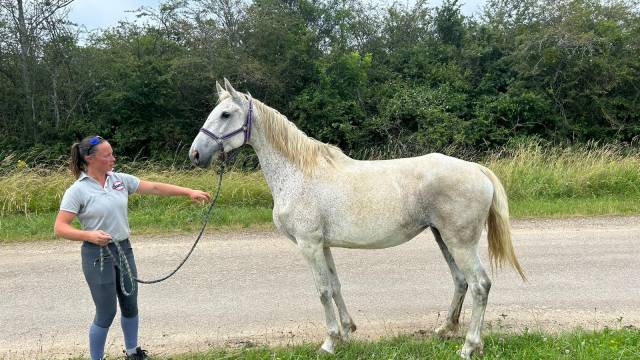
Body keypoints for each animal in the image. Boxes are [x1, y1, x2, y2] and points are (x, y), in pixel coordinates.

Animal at [189, 79, 524, 358]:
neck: (298, 172)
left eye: (226, 114)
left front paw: (329, 342)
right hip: (443, 237)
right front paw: (347, 331)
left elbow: (323, 291)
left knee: (480, 284)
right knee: (461, 281)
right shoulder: (322, 245)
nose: (195, 154)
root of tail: (477, 170)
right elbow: (335, 286)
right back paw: (444, 331)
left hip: (460, 242)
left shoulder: (309, 244)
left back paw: (469, 346)